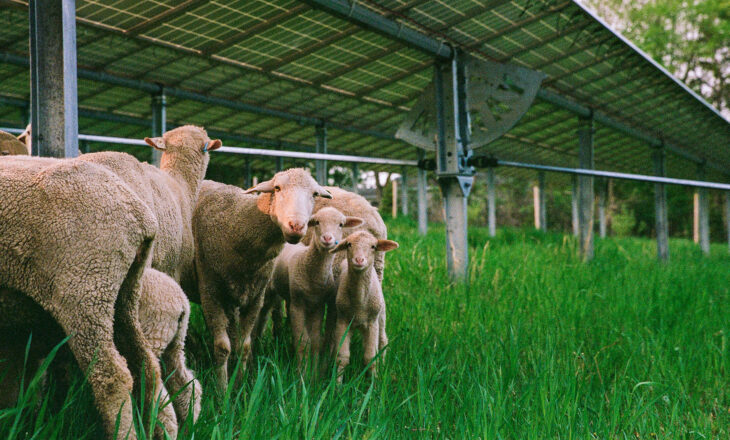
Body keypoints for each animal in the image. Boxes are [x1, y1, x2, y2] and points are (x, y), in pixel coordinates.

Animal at [192, 168, 332, 388]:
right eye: (277, 188)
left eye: (315, 194)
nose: (296, 226)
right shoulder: (210, 291)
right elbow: (222, 347)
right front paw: (221, 390)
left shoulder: (255, 296)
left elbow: (244, 345)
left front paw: (241, 385)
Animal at [266, 208, 362, 366]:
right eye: (317, 222)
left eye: (341, 224)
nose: (327, 238)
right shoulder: (297, 305)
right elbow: (303, 342)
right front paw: (301, 370)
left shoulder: (317, 306)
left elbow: (316, 341)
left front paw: (314, 371)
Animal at [330, 230, 398, 382]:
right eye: (349, 244)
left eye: (373, 246)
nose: (359, 260)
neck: (359, 303)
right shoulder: (343, 321)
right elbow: (342, 358)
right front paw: (336, 385)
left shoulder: (372, 323)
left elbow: (370, 358)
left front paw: (373, 384)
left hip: (381, 316)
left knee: (382, 340)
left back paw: (383, 365)